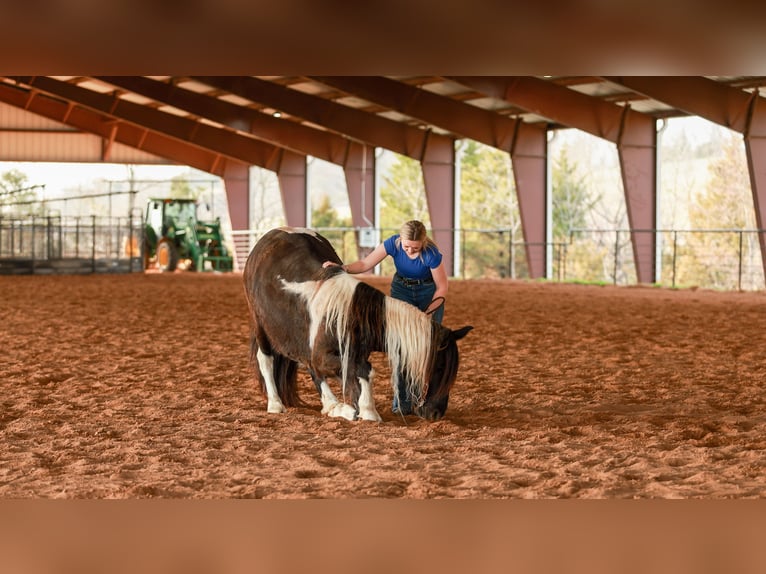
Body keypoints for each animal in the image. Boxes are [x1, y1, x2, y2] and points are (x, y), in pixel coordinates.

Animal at [242, 227, 472, 422]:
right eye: (440, 366)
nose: (436, 413)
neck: (350, 314)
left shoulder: (353, 353)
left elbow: (356, 372)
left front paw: (358, 407)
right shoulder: (323, 356)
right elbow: (360, 370)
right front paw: (366, 410)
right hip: (260, 325)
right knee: (267, 359)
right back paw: (277, 403)